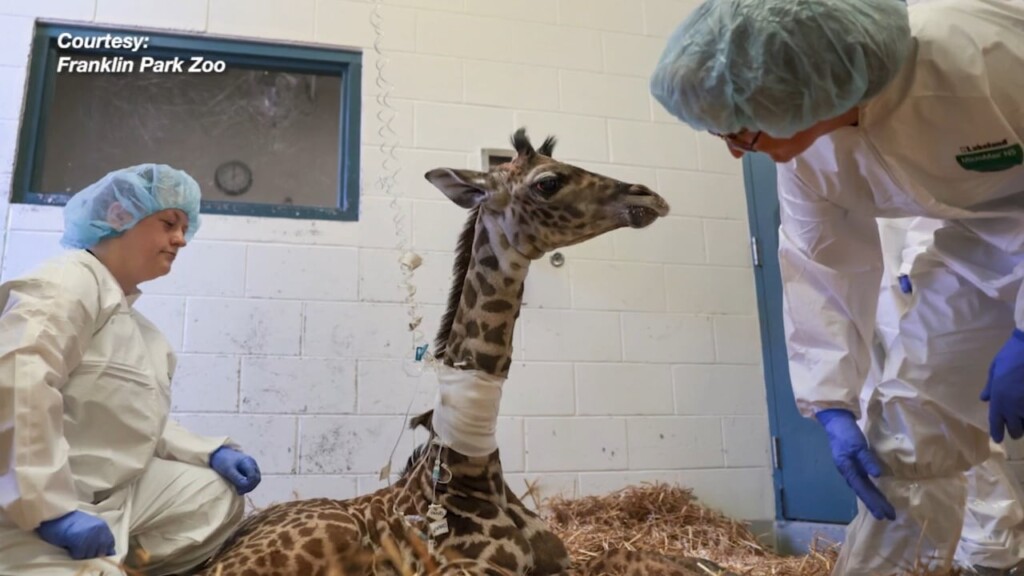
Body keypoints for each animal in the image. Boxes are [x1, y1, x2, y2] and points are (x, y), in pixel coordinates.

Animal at [191, 128, 727, 576]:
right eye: (548, 182)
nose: (647, 196)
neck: (473, 470)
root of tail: (223, 547)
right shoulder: (467, 572)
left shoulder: (562, 560)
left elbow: (631, 553)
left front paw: (708, 563)